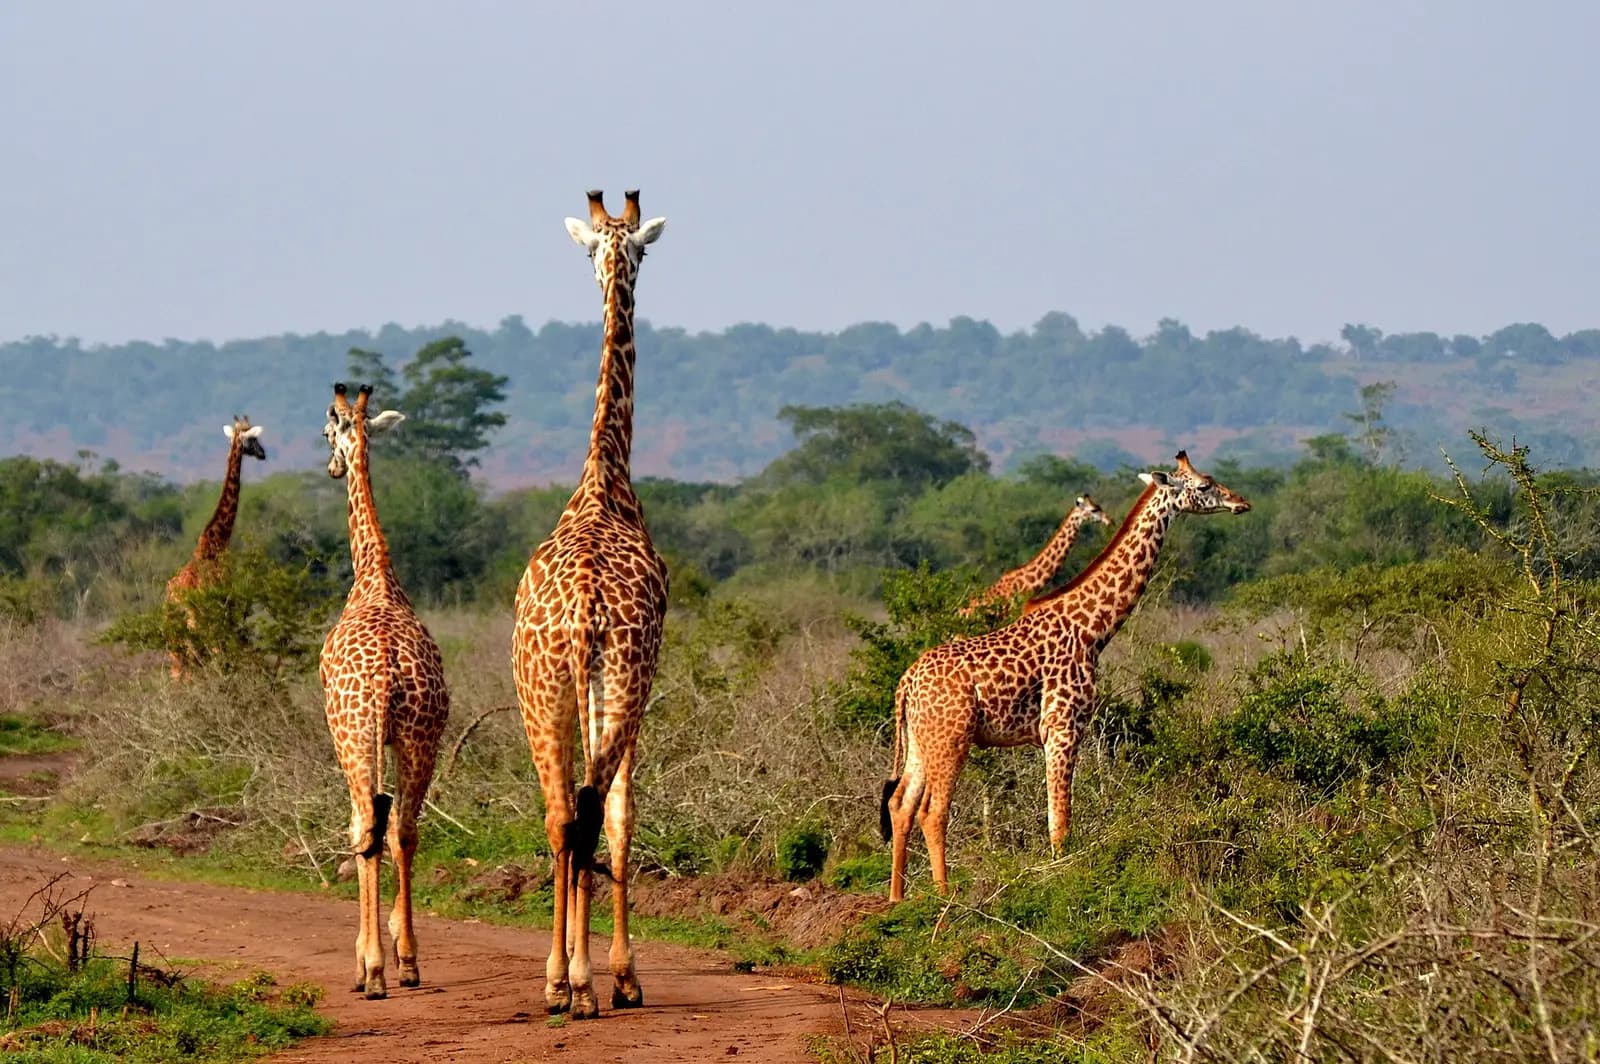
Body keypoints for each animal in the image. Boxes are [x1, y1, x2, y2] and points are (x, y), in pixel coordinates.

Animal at [163, 414, 267, 678]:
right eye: (254, 439)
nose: (263, 453)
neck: (215, 541)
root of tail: (172, 597)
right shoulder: (227, 605)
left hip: (173, 630)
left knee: (179, 667)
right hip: (197, 623)